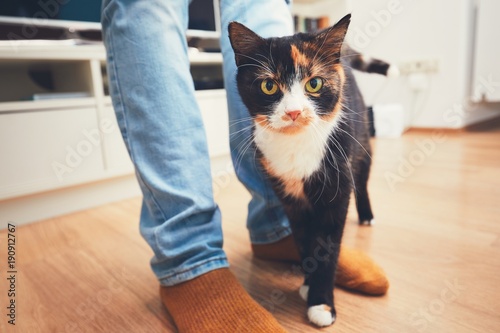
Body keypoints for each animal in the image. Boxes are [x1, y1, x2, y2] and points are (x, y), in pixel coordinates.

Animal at [229, 13, 384, 326]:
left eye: (314, 84)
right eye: (268, 86)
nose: (294, 112)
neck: (296, 145)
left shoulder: (336, 193)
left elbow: (326, 247)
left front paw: (321, 304)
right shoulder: (289, 199)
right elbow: (303, 241)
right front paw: (307, 282)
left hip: (361, 142)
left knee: (362, 180)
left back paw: (366, 215)